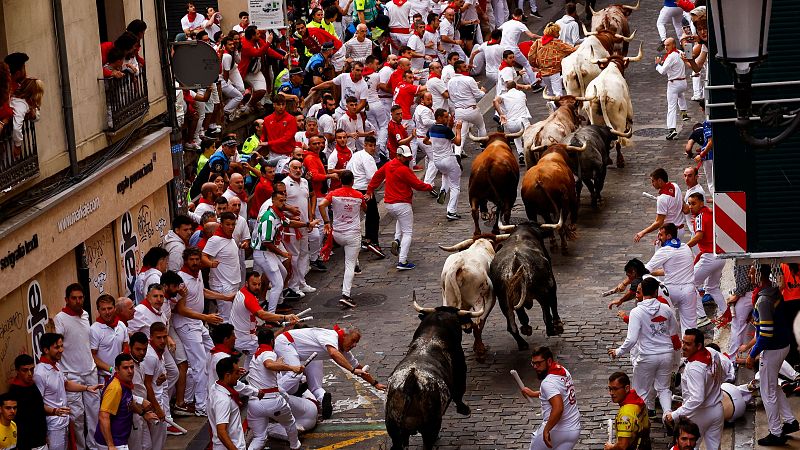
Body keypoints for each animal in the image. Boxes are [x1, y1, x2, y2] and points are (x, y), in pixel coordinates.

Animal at [386, 294, 482, 448]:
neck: (431, 335)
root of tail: (411, 381)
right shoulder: (461, 370)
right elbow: (459, 392)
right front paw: (464, 409)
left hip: (395, 431)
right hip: (430, 428)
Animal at [488, 222, 564, 352]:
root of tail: (516, 262)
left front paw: (525, 326)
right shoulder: (551, 283)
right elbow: (553, 303)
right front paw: (558, 324)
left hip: (504, 301)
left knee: (511, 325)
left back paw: (523, 342)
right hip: (543, 291)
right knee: (547, 316)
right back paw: (552, 330)